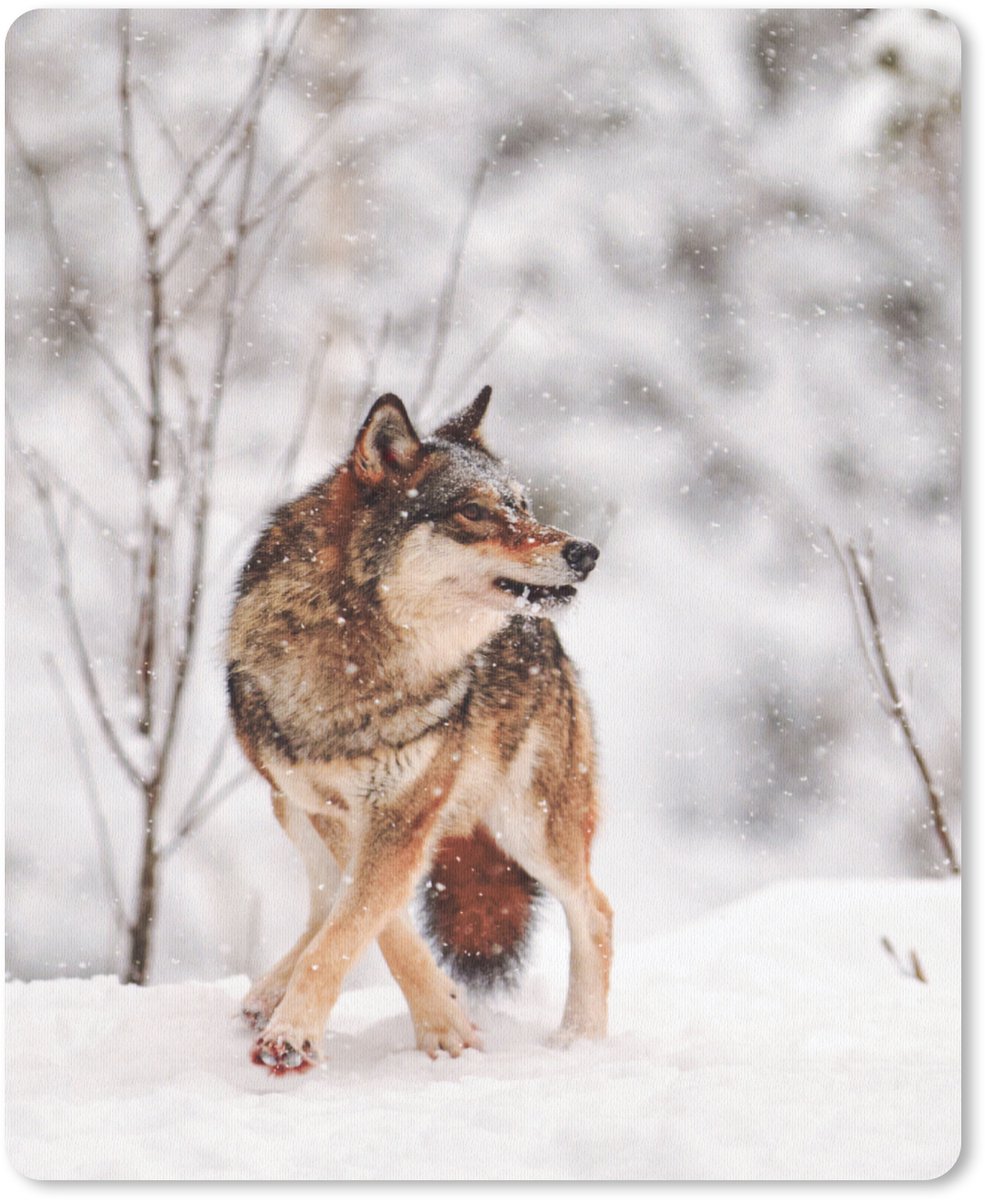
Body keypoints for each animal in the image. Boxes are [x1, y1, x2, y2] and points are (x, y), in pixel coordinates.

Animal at [226, 386, 612, 1072]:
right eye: (474, 512)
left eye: (522, 506)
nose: (585, 552)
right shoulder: (338, 811)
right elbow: (370, 925)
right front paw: (444, 1021)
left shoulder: (403, 812)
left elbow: (354, 927)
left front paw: (295, 1035)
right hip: (289, 807)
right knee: (323, 901)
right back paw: (267, 993)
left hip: (530, 825)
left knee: (595, 912)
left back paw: (579, 1041)